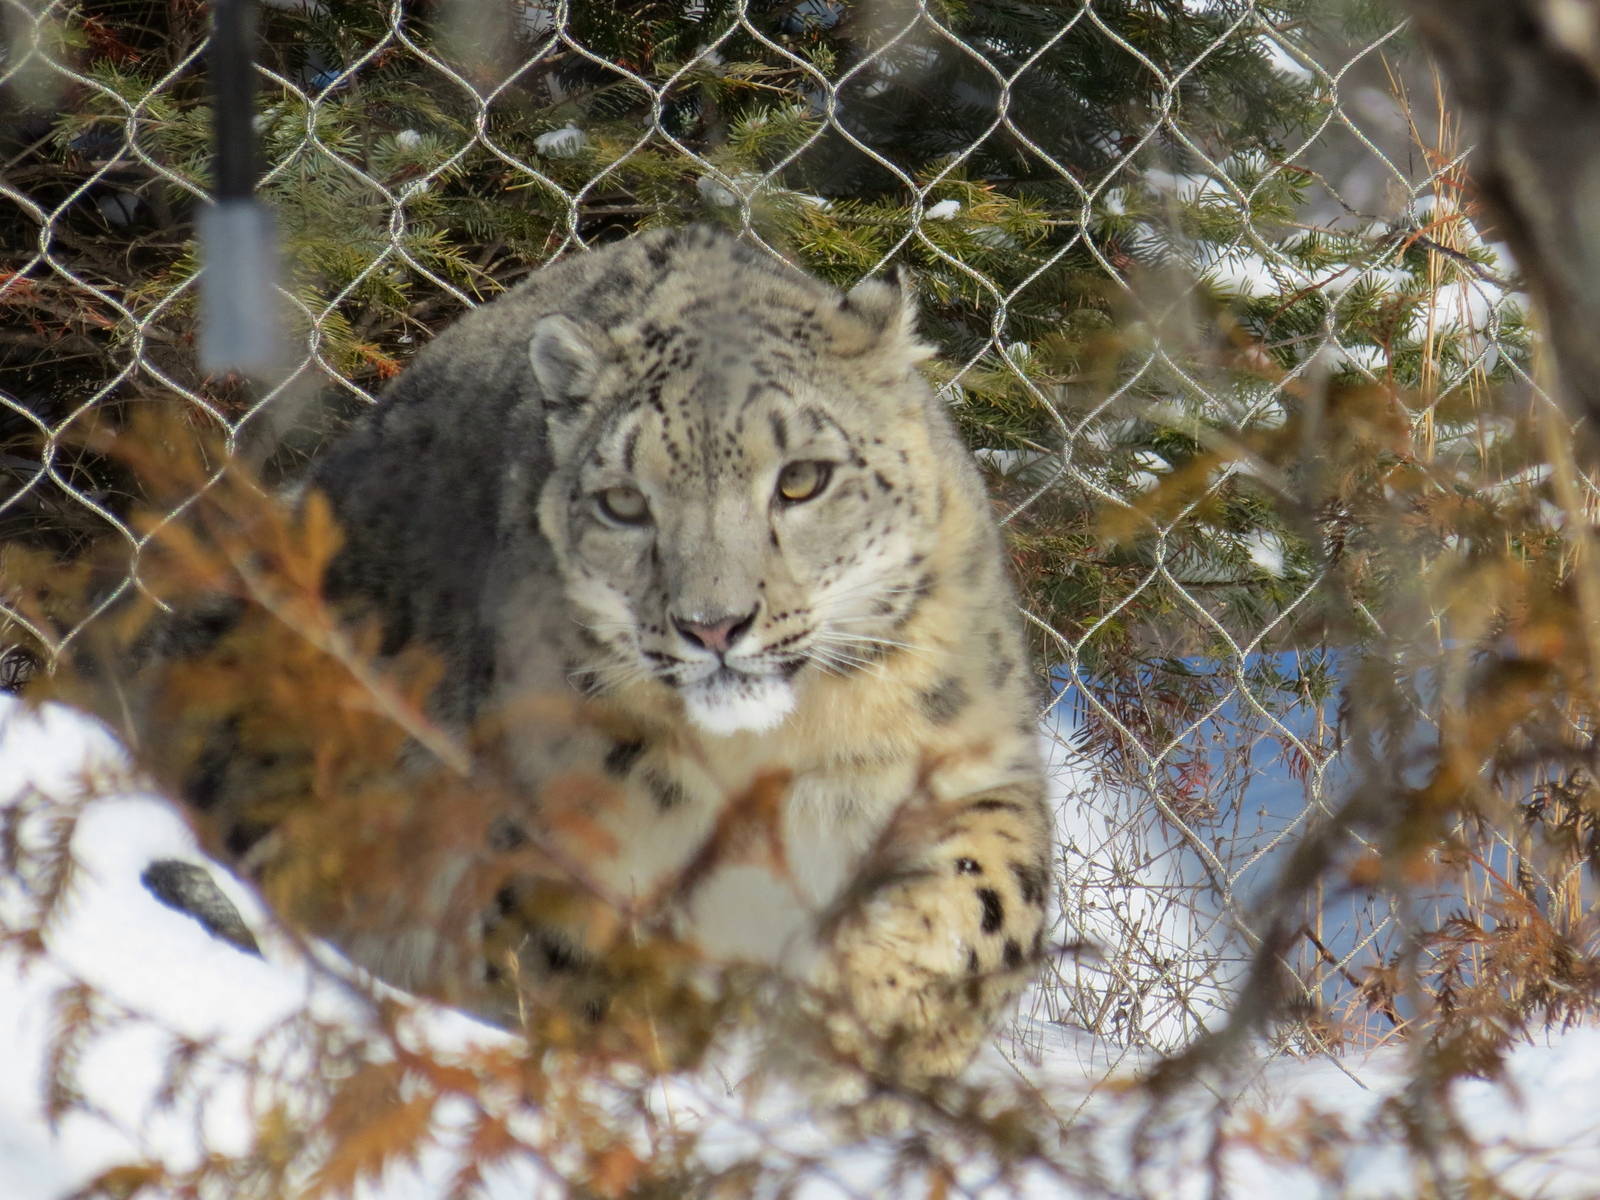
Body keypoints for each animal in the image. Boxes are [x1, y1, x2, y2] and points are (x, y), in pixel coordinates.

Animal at [119, 225, 1054, 1104]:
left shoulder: (970, 761)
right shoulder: (559, 830)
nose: (713, 625)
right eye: (625, 502)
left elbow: (987, 898)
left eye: (803, 479)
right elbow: (572, 971)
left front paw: (858, 1036)